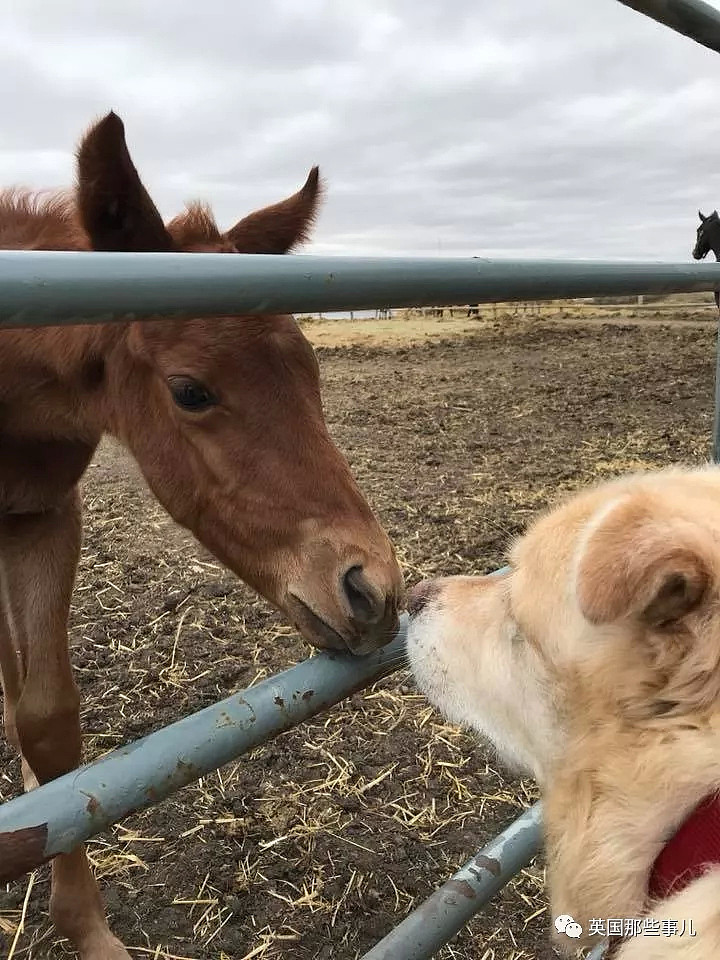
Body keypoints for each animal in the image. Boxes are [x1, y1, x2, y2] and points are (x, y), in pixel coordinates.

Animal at [0, 114, 404, 960]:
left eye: (312, 372)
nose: (371, 589)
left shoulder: (42, 515)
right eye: (190, 390)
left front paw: (85, 925)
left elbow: (48, 719)